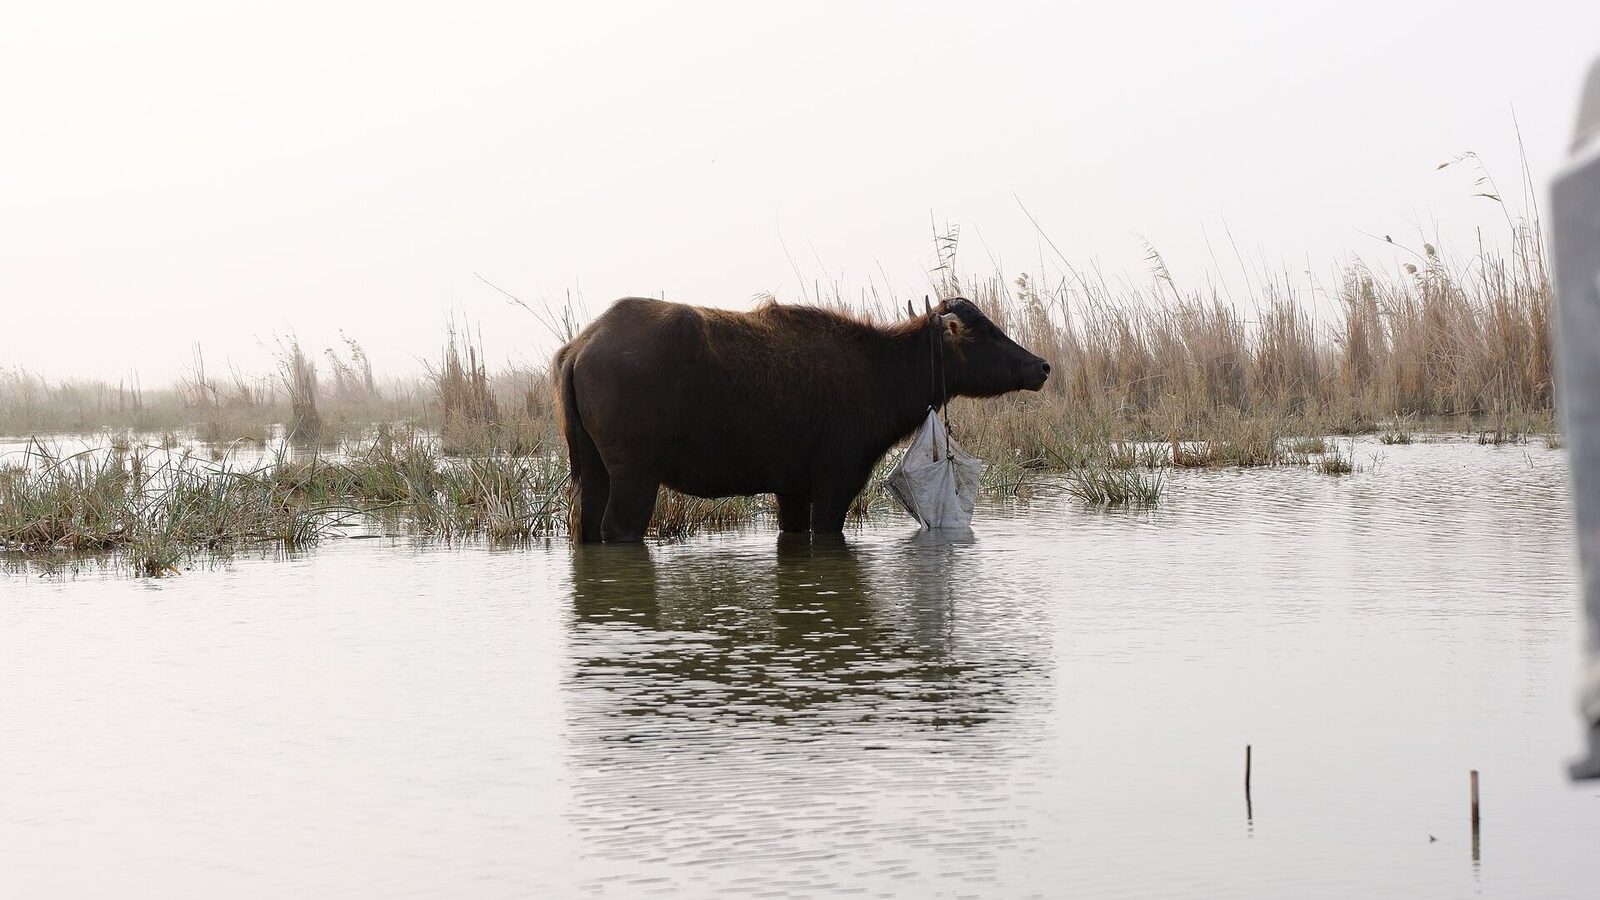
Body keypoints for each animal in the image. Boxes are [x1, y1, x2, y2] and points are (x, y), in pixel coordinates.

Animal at [554, 296, 1049, 542]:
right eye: (985, 332)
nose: (1041, 366)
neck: (882, 371)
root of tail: (579, 347)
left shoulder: (790, 490)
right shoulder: (837, 482)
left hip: (593, 471)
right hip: (635, 475)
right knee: (618, 529)